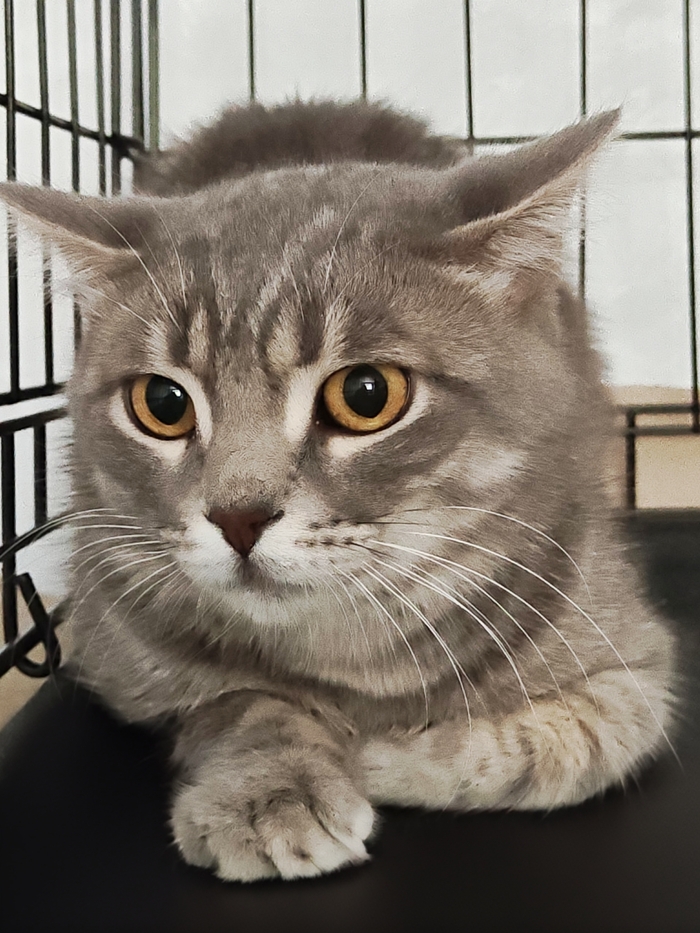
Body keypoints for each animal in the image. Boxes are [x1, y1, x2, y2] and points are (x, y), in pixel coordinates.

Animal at [0, 99, 677, 883]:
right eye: (163, 404)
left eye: (366, 394)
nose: (238, 516)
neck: (350, 654)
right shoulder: (120, 651)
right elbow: (240, 696)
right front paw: (272, 788)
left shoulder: (633, 670)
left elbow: (547, 749)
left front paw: (379, 754)